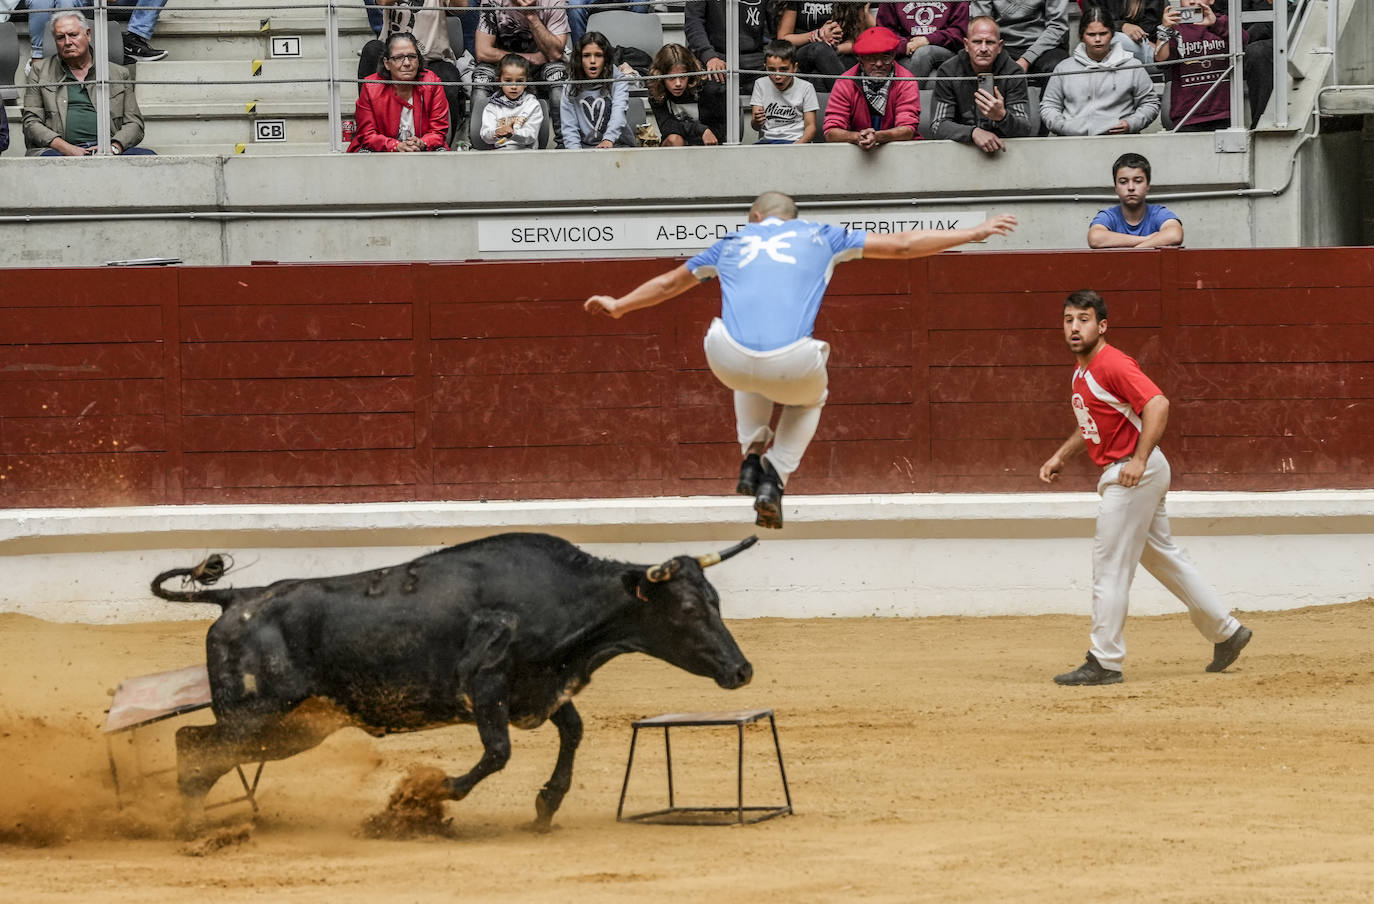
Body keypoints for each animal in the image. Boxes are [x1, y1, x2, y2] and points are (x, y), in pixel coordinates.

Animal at [147, 530, 763, 829]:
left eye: (716, 599)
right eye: (687, 609)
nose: (741, 669)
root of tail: (239, 597)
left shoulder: (535, 689)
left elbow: (573, 731)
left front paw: (546, 806)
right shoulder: (484, 686)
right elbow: (498, 754)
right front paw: (419, 800)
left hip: (292, 726)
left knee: (192, 743)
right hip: (257, 716)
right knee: (198, 748)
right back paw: (188, 825)